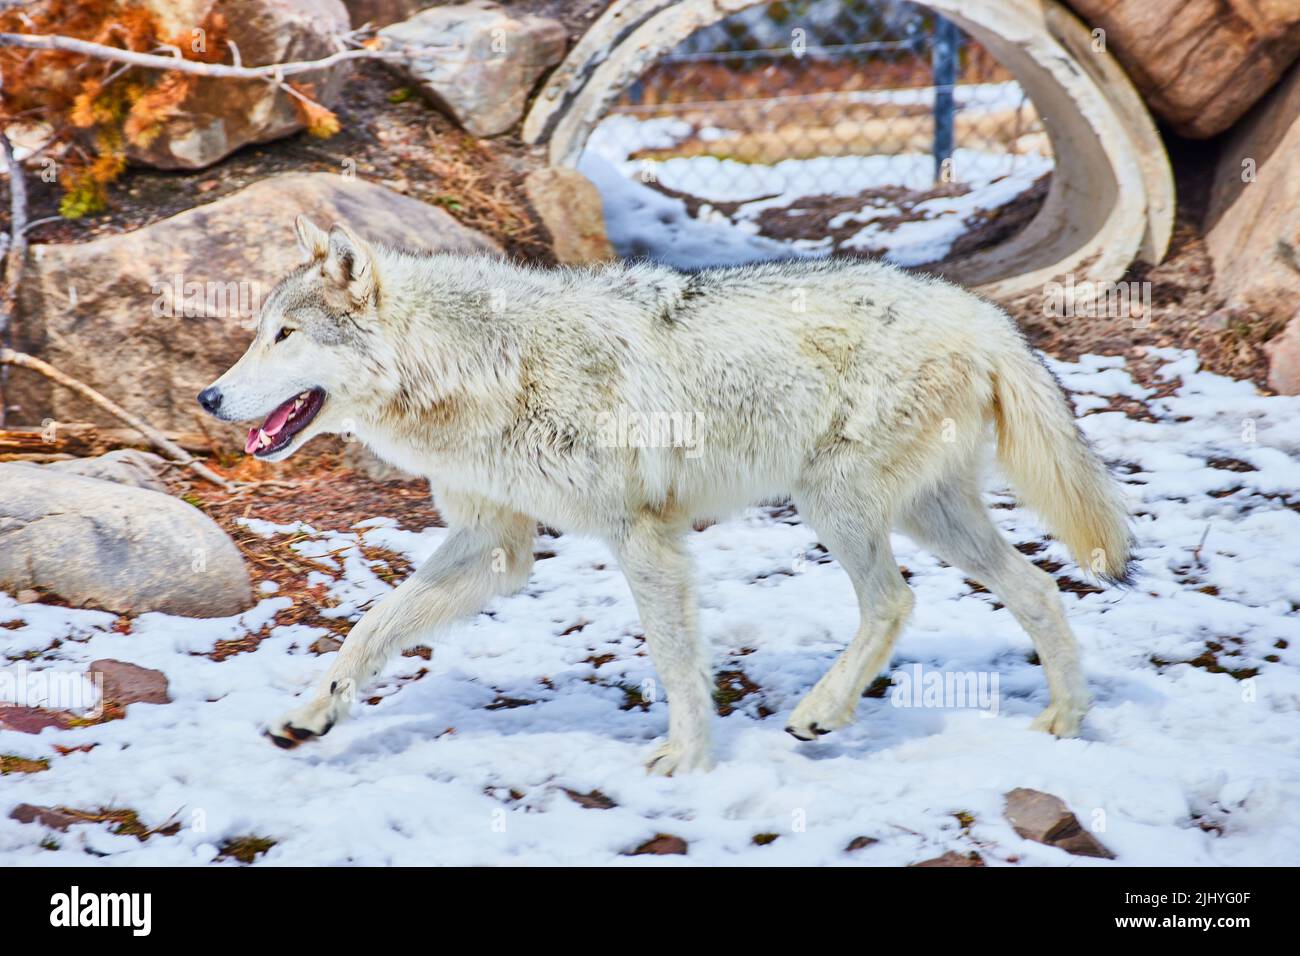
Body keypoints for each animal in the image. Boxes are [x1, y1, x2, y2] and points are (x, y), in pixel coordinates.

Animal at [198, 216, 1132, 774]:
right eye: (257, 333)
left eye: (285, 335)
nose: (208, 398)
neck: (482, 368)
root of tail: (983, 315)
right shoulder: (496, 548)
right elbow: (370, 630)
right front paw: (309, 716)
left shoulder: (640, 534)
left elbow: (677, 660)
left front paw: (685, 758)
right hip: (926, 514)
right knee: (1038, 588)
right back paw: (1067, 719)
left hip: (838, 505)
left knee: (895, 603)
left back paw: (820, 713)